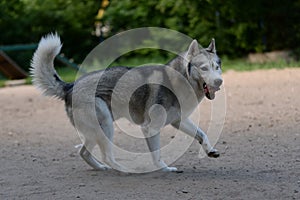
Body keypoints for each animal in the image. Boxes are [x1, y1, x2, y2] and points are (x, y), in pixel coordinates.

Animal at [30, 33, 223, 172]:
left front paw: (210, 151)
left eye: (217, 67)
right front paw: (165, 169)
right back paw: (125, 170)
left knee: (84, 153)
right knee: (106, 156)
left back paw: (102, 168)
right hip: (106, 125)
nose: (219, 82)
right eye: (204, 68)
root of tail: (70, 86)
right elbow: (157, 155)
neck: (178, 80)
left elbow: (202, 134)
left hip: (96, 132)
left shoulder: (179, 121)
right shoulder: (150, 128)